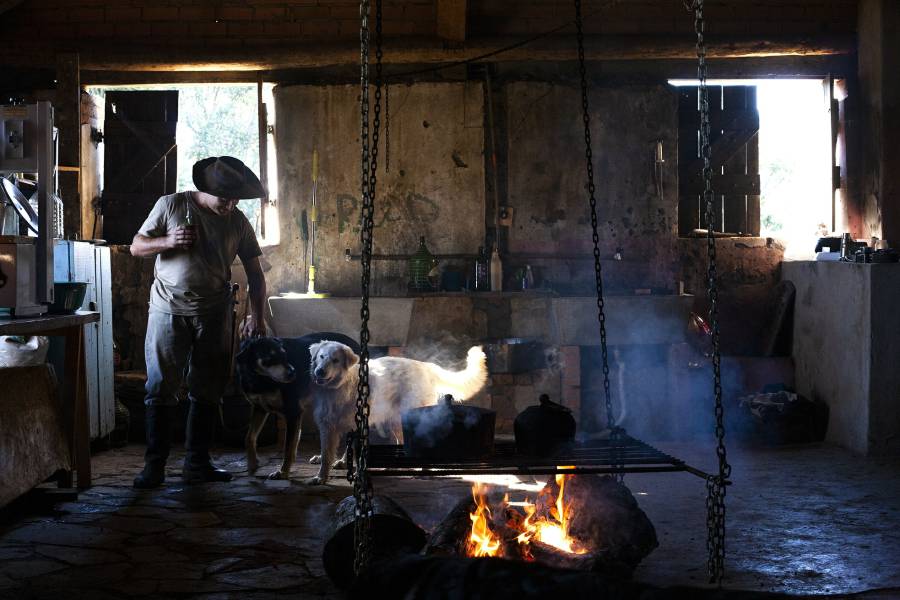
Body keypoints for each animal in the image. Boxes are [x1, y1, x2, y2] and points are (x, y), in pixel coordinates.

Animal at [306, 342, 488, 482]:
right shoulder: (328, 426)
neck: (340, 386)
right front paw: (321, 476)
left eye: (335, 360)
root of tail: (425, 366)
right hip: (395, 422)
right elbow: (327, 455)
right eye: (321, 357)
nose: (319, 371)